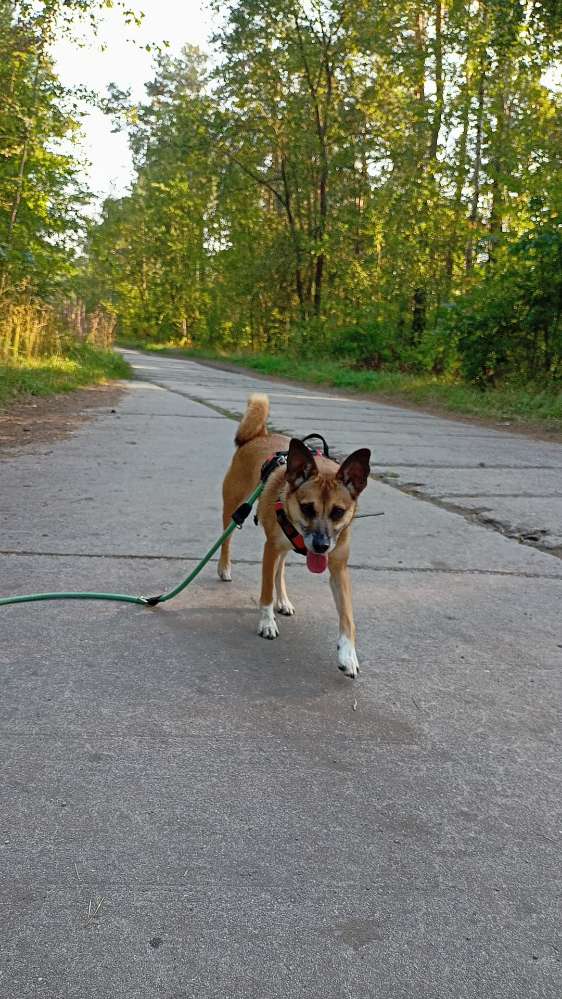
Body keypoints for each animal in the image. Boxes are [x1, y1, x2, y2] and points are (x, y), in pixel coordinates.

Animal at [217, 394, 370, 676]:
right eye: (307, 507)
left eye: (338, 512)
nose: (321, 546)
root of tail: (260, 435)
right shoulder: (270, 549)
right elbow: (265, 593)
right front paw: (267, 622)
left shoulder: (339, 569)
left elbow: (347, 617)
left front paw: (348, 654)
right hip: (234, 507)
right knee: (227, 540)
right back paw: (224, 568)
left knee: (281, 570)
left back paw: (284, 601)